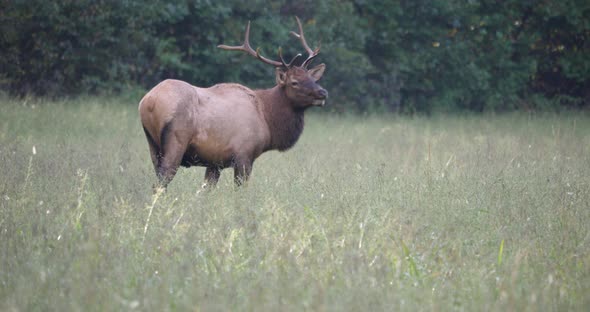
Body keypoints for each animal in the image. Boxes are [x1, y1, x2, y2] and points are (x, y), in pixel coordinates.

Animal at [142, 18, 330, 189]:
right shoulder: (244, 154)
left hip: (153, 145)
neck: (267, 120)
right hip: (176, 140)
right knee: (160, 183)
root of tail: (149, 101)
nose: (323, 93)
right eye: (294, 82)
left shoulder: (214, 162)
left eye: (312, 78)